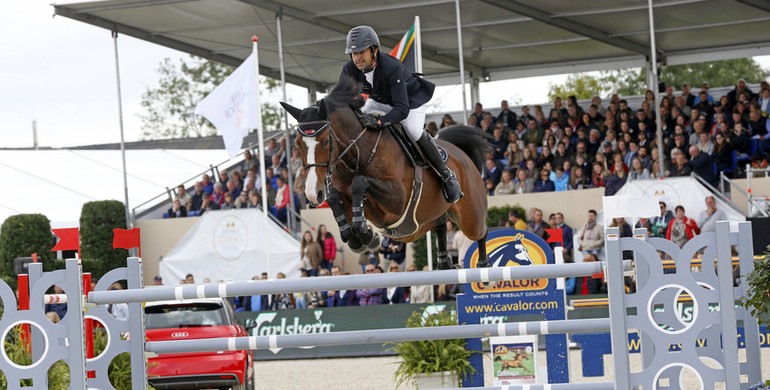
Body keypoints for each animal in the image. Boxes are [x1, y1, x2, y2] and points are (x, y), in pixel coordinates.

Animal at [280, 77, 488, 272]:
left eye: (324, 141)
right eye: (297, 144)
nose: (312, 194)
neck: (356, 155)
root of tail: (460, 154)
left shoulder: (397, 198)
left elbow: (360, 183)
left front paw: (366, 234)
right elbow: (333, 198)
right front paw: (359, 239)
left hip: (470, 217)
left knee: (481, 231)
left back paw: (483, 266)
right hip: (420, 223)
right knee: (440, 223)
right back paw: (445, 263)